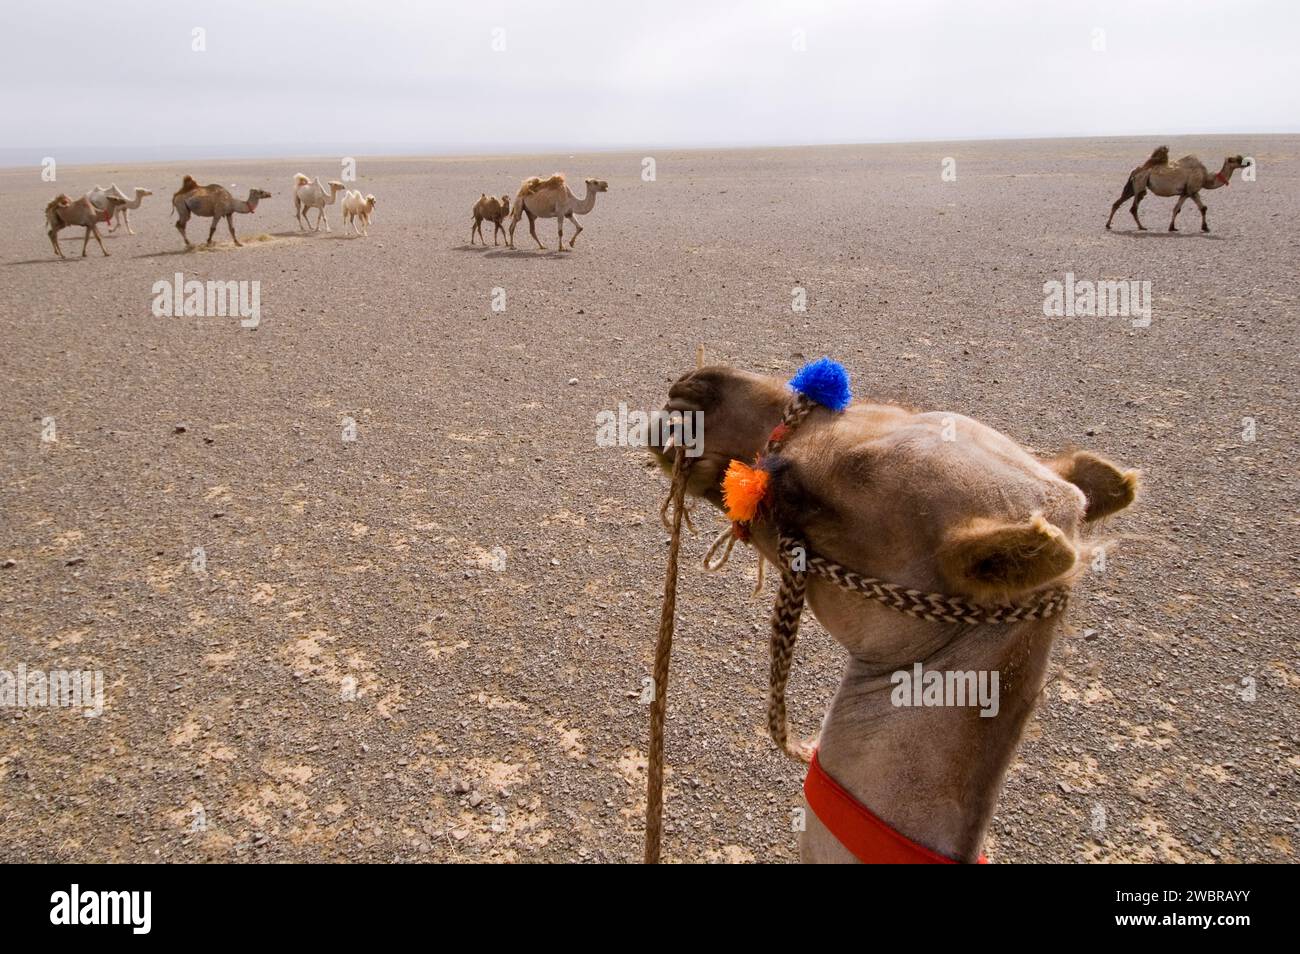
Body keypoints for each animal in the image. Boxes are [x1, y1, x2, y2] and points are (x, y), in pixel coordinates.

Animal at [1107, 146, 1248, 233]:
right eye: (1233, 159)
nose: (1247, 162)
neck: (1206, 178)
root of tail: (1135, 170)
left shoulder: (1187, 192)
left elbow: (1181, 209)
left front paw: (1173, 227)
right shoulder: (1192, 190)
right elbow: (1199, 208)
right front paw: (1205, 228)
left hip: (1132, 187)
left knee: (1117, 203)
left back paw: (1108, 225)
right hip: (1140, 185)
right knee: (1133, 208)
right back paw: (1141, 227)